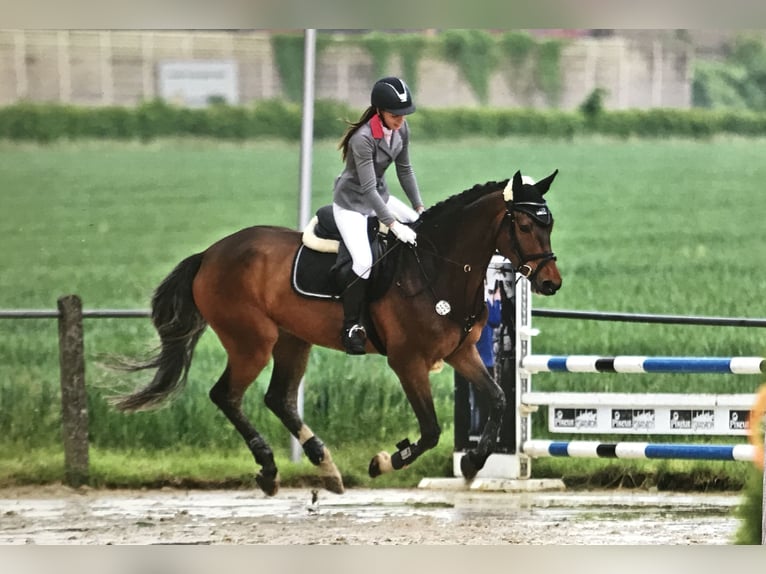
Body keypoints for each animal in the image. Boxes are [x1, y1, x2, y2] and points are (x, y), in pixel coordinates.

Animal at [114, 169, 560, 498]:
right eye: (524, 224)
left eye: (549, 223)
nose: (551, 283)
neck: (437, 267)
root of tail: (210, 254)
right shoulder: (407, 362)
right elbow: (431, 430)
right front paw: (385, 462)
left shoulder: (461, 353)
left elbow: (498, 399)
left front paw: (471, 462)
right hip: (251, 343)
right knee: (226, 395)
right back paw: (270, 468)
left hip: (293, 340)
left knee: (278, 398)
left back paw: (325, 466)